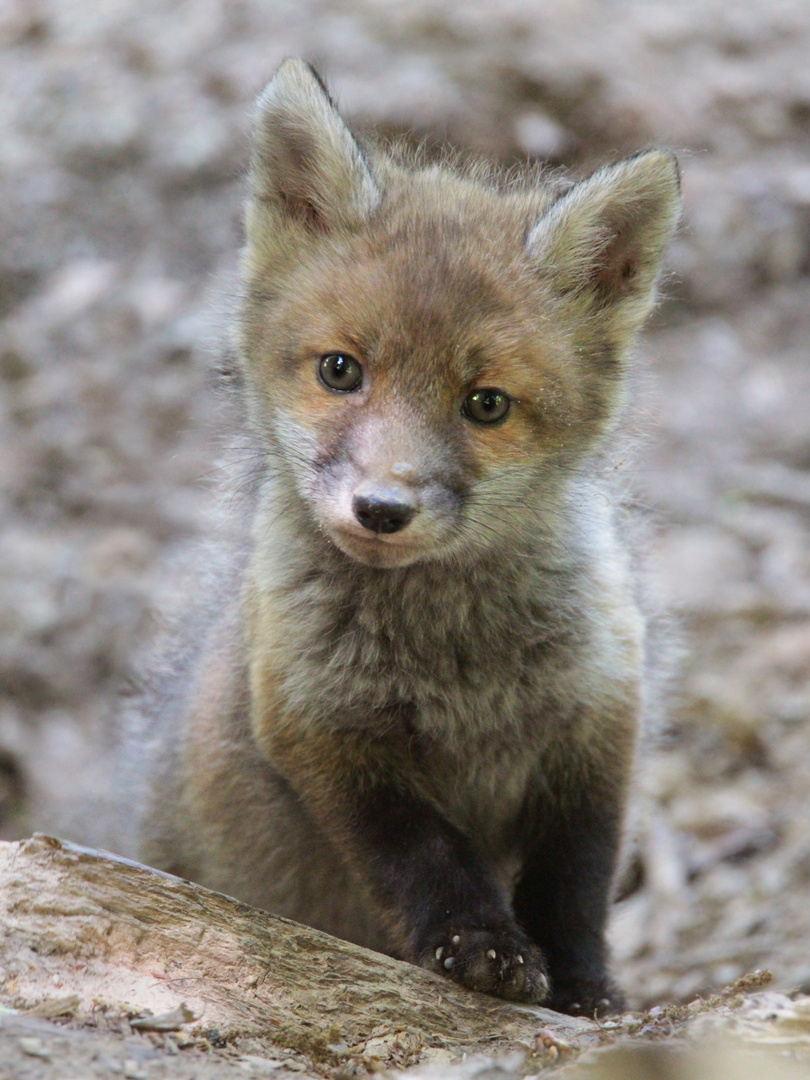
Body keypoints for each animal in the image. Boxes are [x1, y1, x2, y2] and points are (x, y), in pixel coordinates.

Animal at [120, 59, 678, 1015]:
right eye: (341, 370)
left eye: (486, 404)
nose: (380, 508)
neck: (458, 659)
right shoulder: (323, 732)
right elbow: (426, 857)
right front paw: (483, 946)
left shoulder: (600, 722)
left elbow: (576, 879)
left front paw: (582, 987)